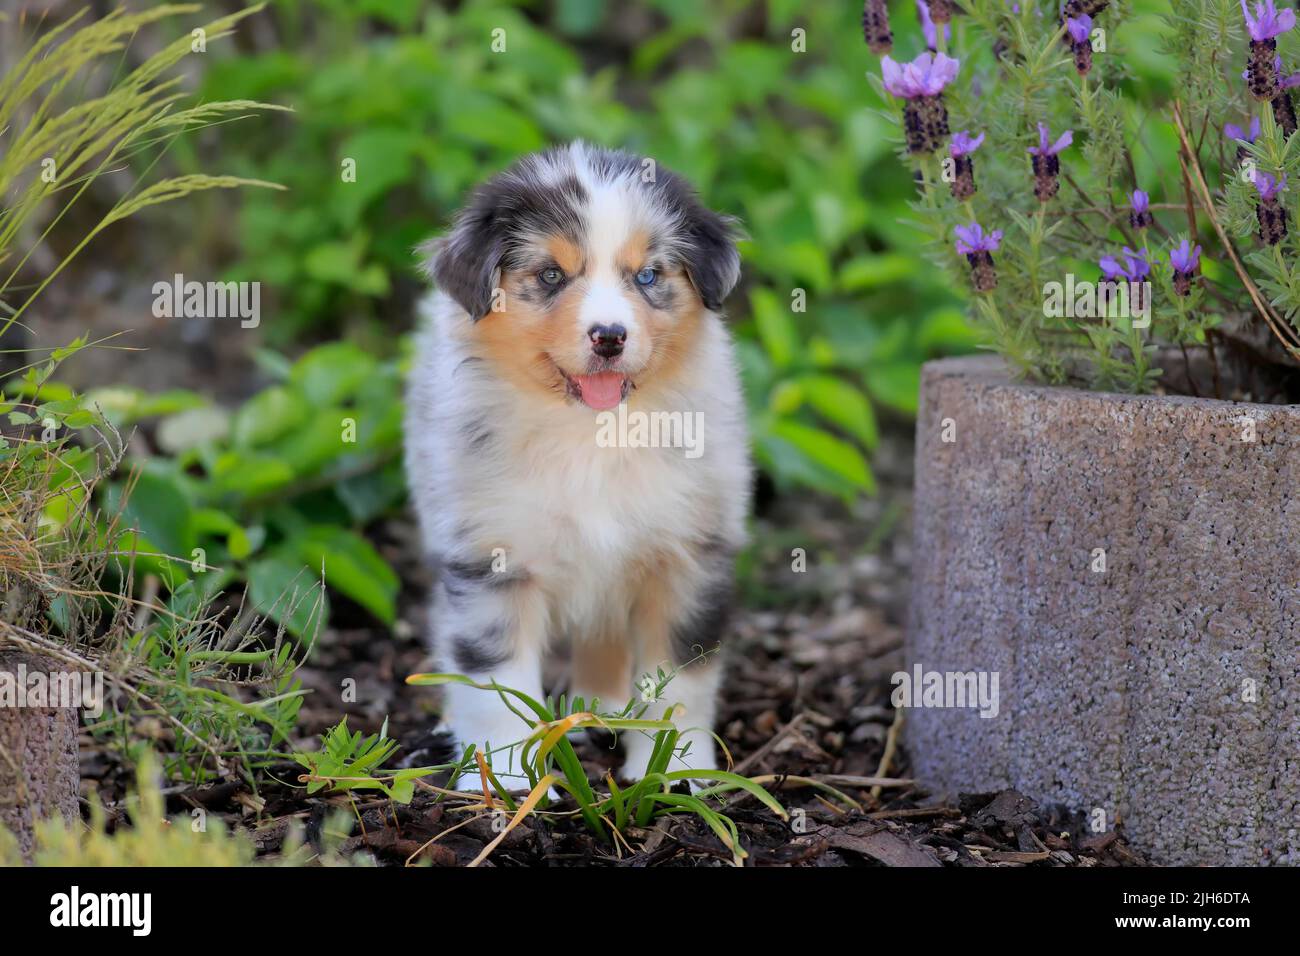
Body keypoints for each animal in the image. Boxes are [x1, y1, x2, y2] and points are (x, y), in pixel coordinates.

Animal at [405, 143, 754, 785]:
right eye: (551, 275)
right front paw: (505, 781)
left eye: (647, 275)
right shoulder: (488, 557)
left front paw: (675, 772)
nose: (609, 336)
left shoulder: (689, 553)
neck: (591, 434)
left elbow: (681, 681)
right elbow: (496, 679)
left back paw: (600, 709)